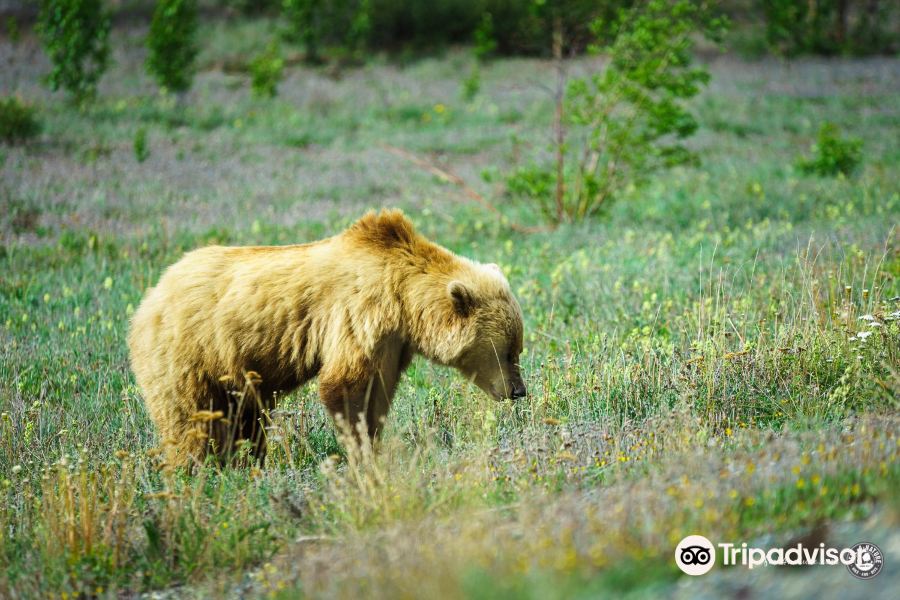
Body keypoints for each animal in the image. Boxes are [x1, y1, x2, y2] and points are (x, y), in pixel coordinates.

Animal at [127, 209, 528, 466]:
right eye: (508, 351)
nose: (518, 390)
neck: (403, 300)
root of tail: (150, 295)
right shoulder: (359, 315)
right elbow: (345, 385)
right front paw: (359, 450)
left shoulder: (392, 342)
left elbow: (378, 393)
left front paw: (373, 441)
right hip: (190, 354)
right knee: (191, 421)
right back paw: (195, 470)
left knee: (245, 420)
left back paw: (245, 463)